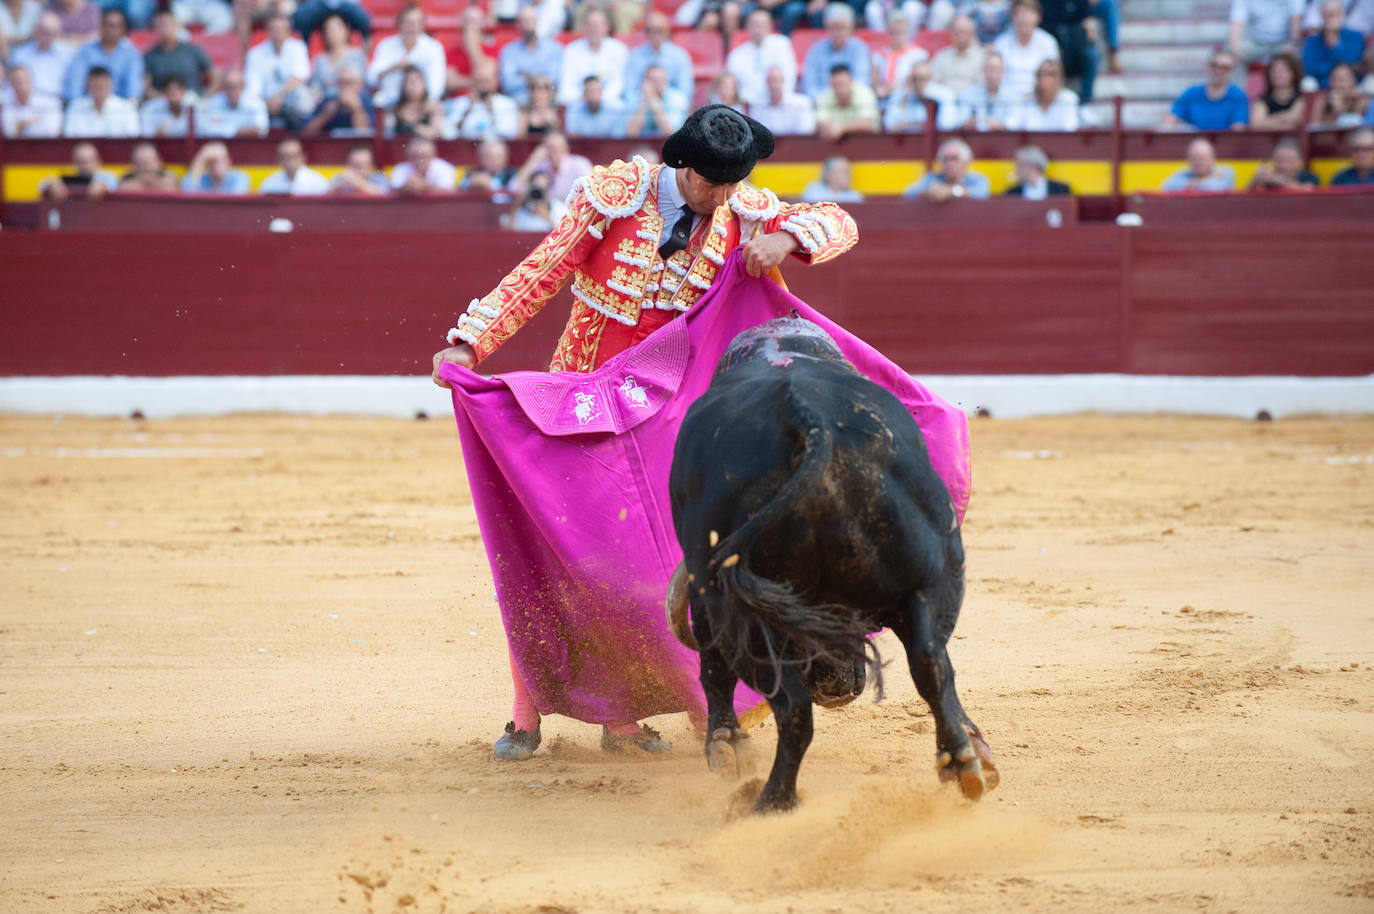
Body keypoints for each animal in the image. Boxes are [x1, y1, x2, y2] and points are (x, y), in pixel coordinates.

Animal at [667, 316, 1000, 813]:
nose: (837, 686)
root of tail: (811, 425)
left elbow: (712, 667)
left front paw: (726, 746)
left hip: (741, 611)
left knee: (791, 706)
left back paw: (770, 803)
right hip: (934, 573)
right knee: (930, 661)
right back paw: (965, 760)